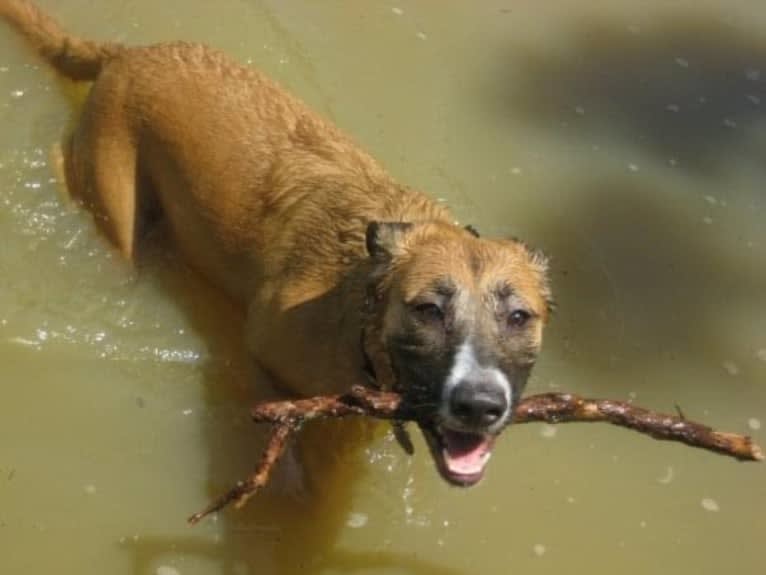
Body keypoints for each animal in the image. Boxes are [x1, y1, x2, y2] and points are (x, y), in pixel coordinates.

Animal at [0, 0, 552, 486]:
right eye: (428, 309)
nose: (480, 405)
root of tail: (125, 54)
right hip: (114, 201)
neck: (359, 312)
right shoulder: (261, 349)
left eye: (519, 317)